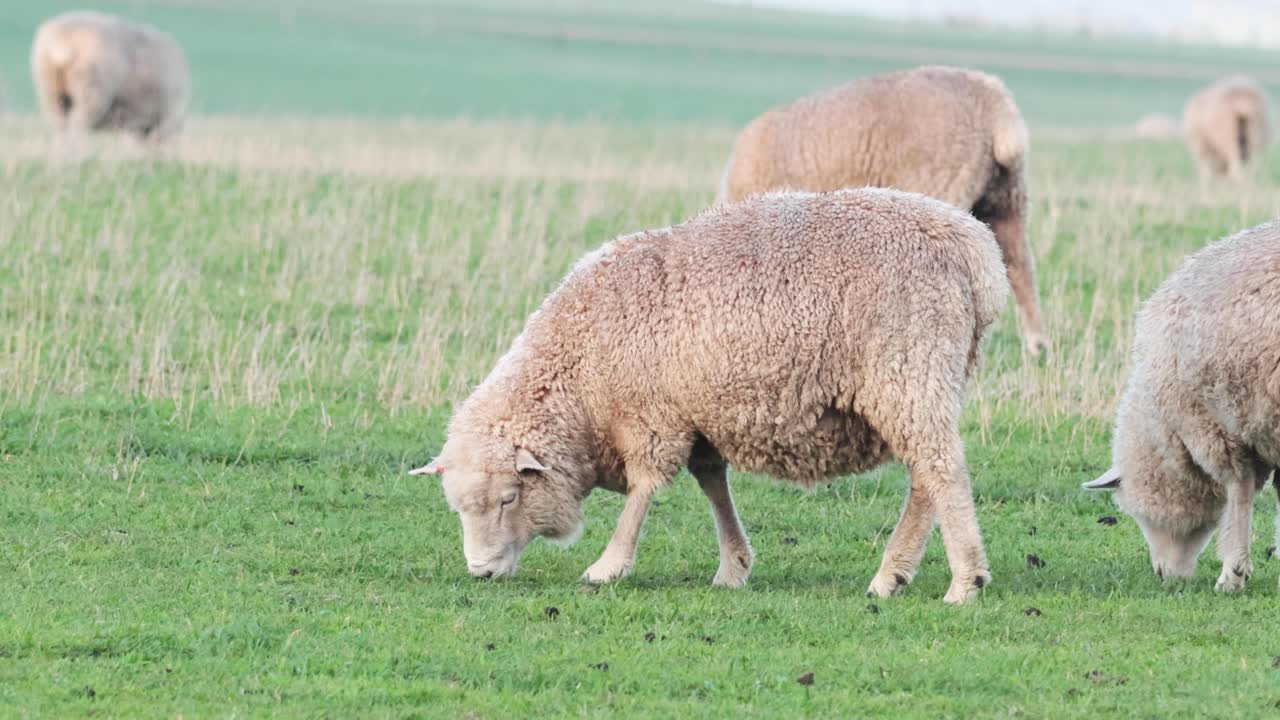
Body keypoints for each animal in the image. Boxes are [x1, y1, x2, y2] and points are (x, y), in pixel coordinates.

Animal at [413, 187, 1010, 605]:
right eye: (459, 507)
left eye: (509, 498)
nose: (481, 572)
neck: (579, 377)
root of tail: (971, 246)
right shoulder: (696, 417)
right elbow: (712, 485)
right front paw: (733, 567)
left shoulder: (651, 415)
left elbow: (644, 490)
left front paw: (608, 566)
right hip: (925, 379)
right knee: (925, 476)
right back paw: (894, 575)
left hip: (907, 366)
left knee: (941, 468)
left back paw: (964, 582)